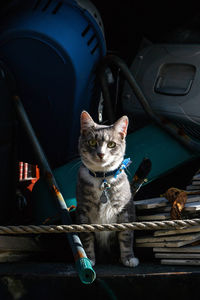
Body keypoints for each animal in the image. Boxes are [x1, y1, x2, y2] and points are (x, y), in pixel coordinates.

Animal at [76, 110, 139, 268]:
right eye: (92, 142)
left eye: (111, 144)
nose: (101, 154)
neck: (102, 179)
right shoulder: (83, 211)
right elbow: (86, 238)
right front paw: (88, 259)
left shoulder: (126, 210)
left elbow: (126, 236)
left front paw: (128, 258)